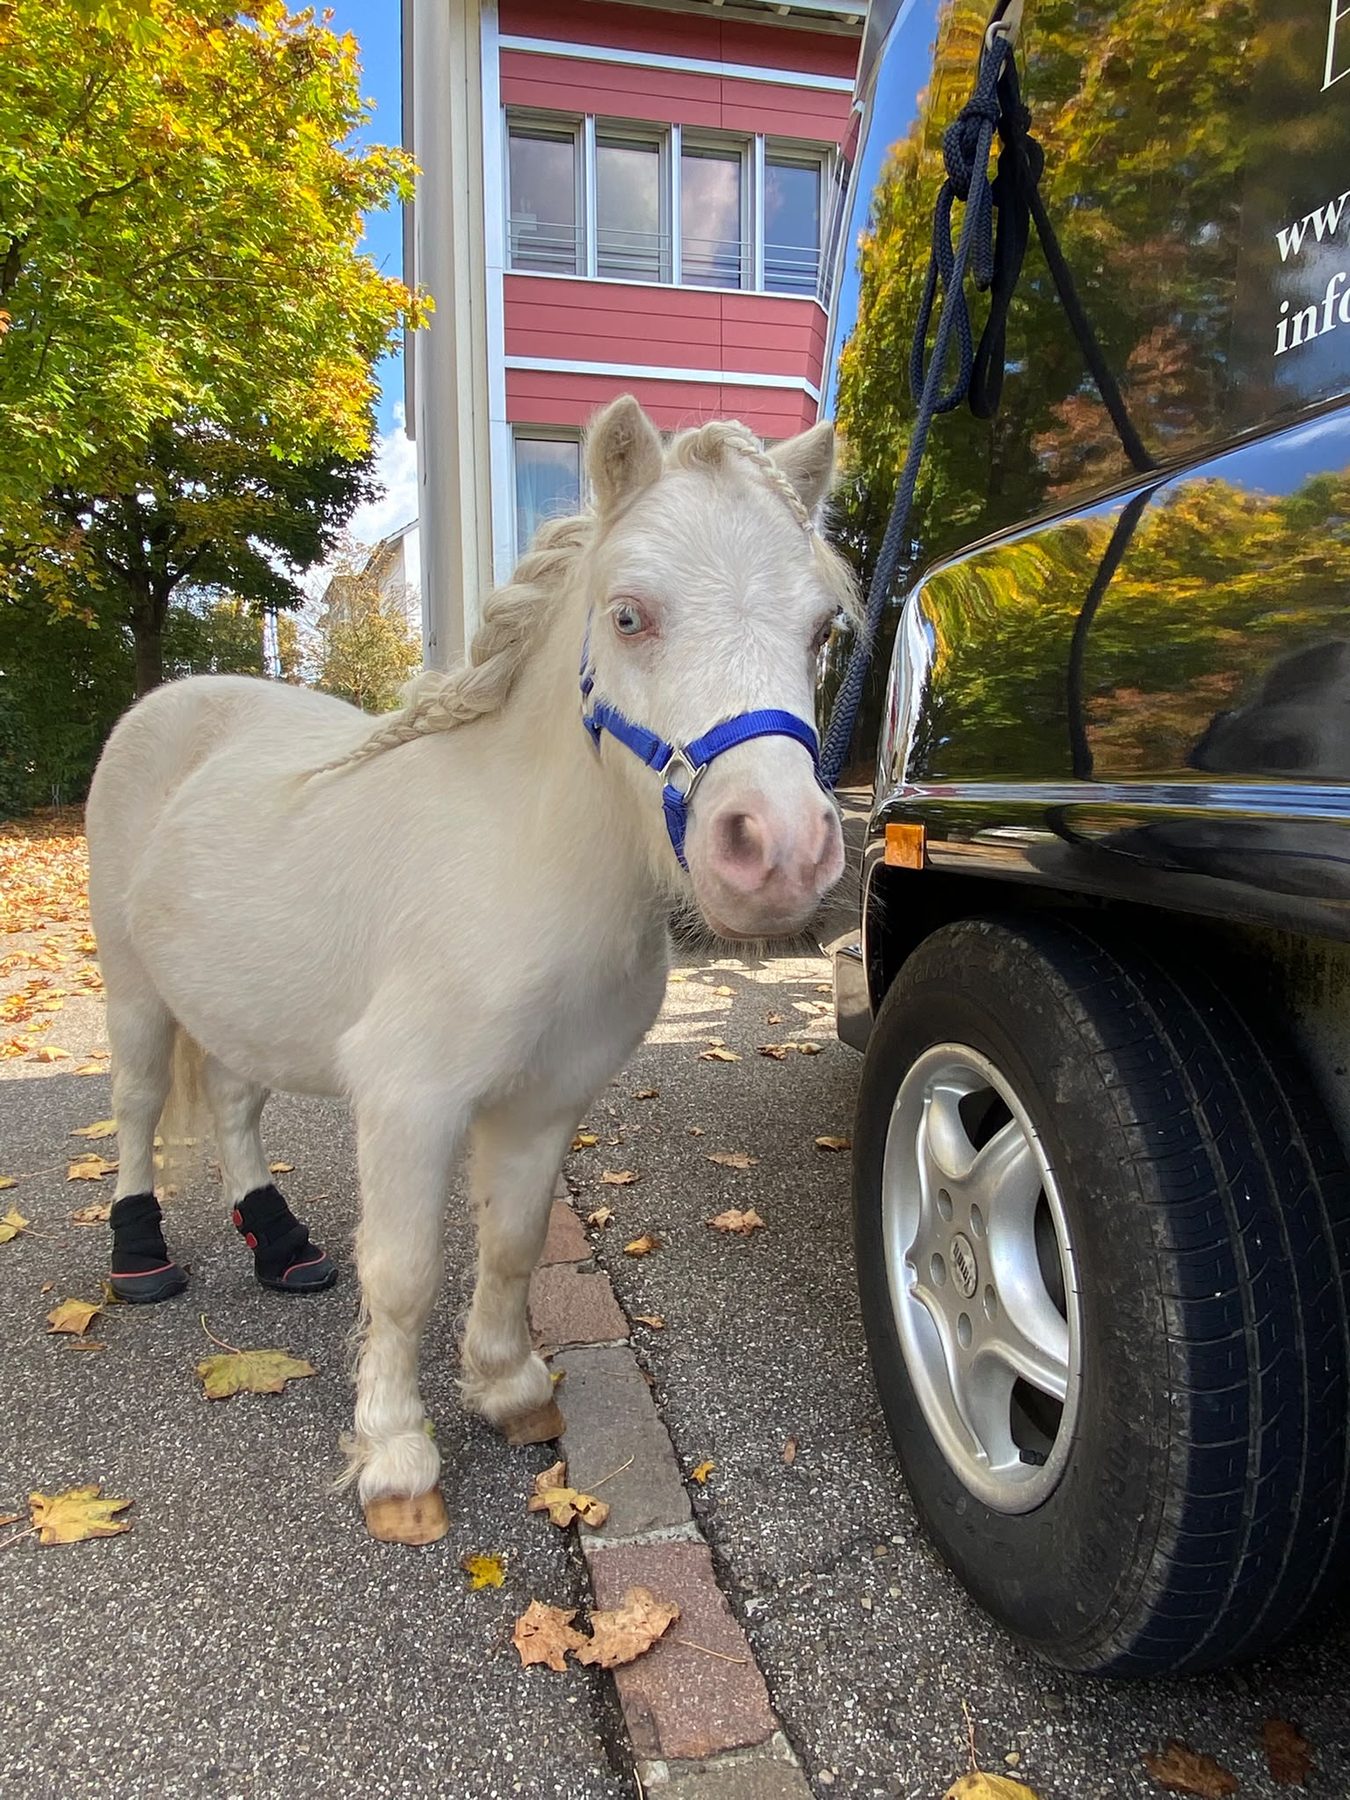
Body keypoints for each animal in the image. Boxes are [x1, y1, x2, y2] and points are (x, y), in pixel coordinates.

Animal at [85, 397, 856, 1541]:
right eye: (630, 617)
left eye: (820, 631)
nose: (781, 851)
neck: (523, 864)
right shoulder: (409, 1102)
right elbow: (403, 1273)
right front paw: (396, 1457)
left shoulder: (544, 1103)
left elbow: (513, 1243)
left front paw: (509, 1389)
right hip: (135, 990)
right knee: (138, 1103)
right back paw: (140, 1256)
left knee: (231, 1103)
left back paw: (278, 1242)